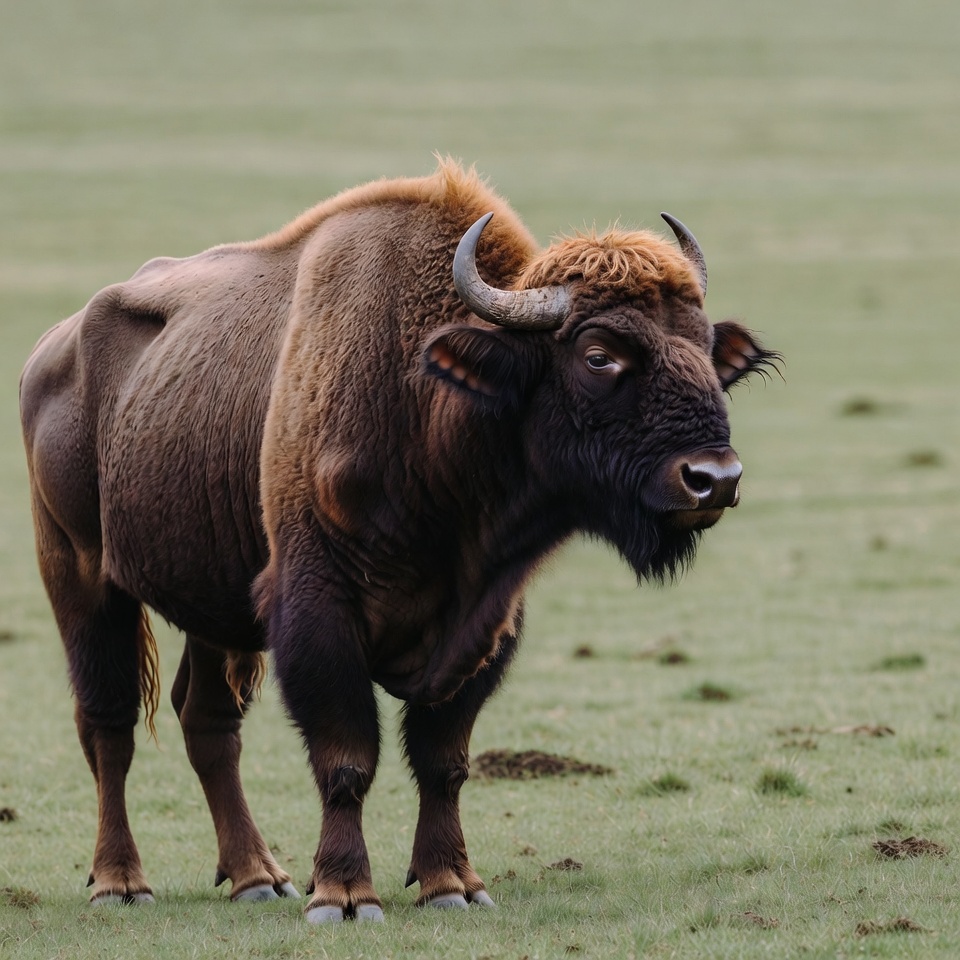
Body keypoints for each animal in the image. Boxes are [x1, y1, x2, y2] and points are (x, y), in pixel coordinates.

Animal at [20, 160, 775, 921]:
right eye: (599, 356)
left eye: (704, 347)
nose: (714, 479)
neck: (427, 404)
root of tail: (50, 350)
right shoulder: (316, 613)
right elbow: (346, 756)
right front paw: (343, 895)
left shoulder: (484, 626)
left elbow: (444, 761)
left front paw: (453, 885)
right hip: (80, 575)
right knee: (108, 725)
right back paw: (121, 883)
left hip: (211, 604)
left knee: (206, 723)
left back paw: (258, 876)